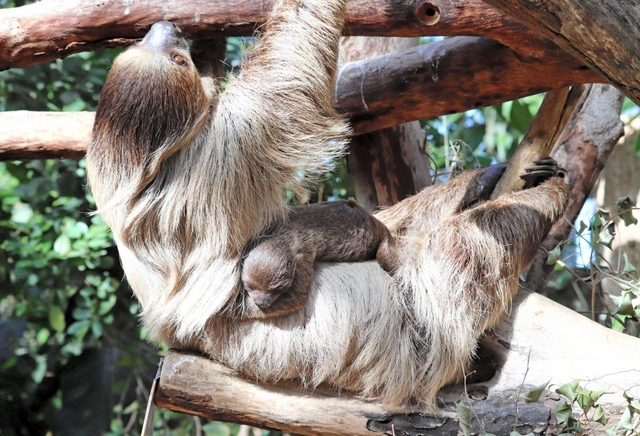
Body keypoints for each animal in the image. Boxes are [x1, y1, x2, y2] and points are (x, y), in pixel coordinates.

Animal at [242, 199, 398, 316]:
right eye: (249, 286)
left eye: (278, 289)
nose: (261, 302)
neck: (283, 235)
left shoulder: (303, 255)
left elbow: (297, 298)